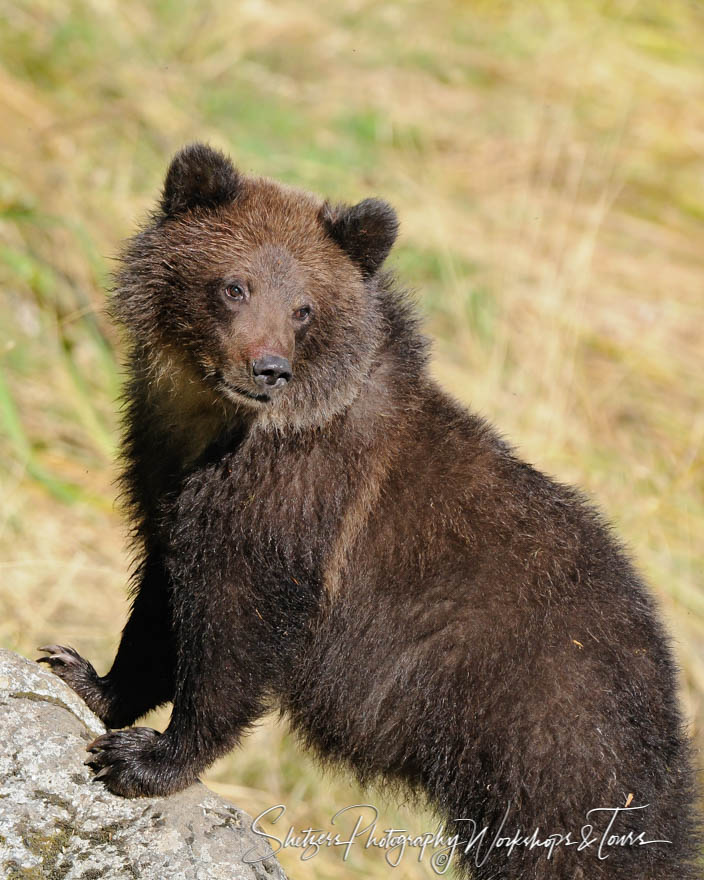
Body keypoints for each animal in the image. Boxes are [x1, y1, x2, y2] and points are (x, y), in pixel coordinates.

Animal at [41, 141, 700, 876]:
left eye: (303, 308)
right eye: (235, 285)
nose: (268, 369)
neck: (215, 425)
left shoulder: (290, 508)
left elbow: (233, 636)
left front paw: (145, 758)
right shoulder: (164, 478)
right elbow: (159, 600)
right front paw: (82, 674)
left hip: (550, 732)